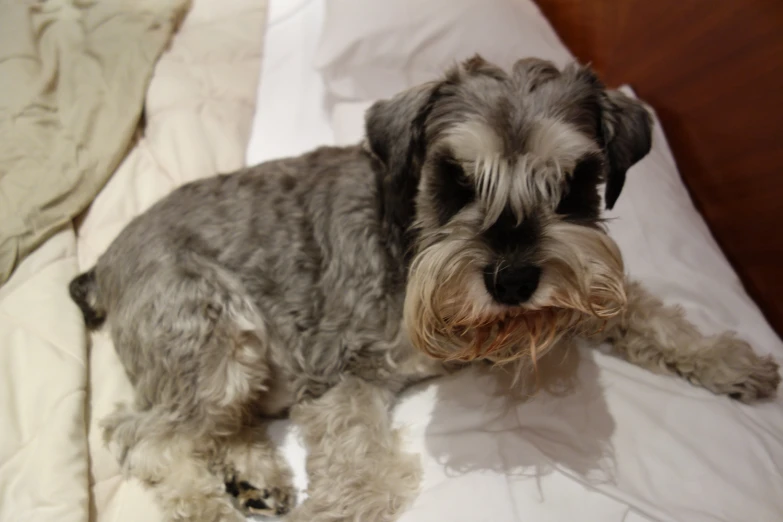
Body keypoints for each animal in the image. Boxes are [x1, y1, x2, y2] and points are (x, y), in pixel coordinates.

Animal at [70, 54, 780, 516]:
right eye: (454, 178)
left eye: (576, 180)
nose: (514, 279)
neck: (410, 233)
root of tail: (103, 262)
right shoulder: (337, 368)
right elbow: (357, 459)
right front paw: (346, 503)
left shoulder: (586, 284)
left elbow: (649, 313)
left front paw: (730, 360)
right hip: (215, 339)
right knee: (145, 435)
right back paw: (214, 500)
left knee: (211, 427)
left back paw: (255, 475)